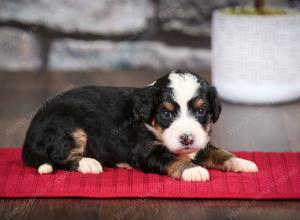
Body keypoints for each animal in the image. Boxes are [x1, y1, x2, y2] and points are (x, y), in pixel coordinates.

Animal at [22, 71, 258, 182]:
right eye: (166, 114)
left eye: (201, 111)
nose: (187, 138)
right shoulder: (148, 151)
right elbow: (173, 158)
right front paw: (193, 170)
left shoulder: (201, 144)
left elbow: (219, 153)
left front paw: (242, 162)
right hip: (67, 127)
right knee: (59, 157)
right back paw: (89, 163)